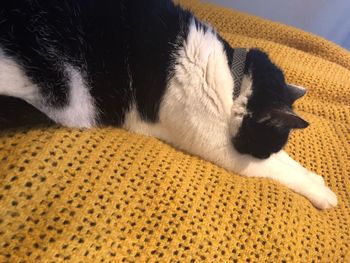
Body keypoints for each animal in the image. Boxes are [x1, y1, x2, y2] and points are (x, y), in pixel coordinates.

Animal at [0, 0, 336, 210]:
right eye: (263, 148)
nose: (262, 153)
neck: (233, 77)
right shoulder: (220, 146)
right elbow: (273, 169)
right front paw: (322, 192)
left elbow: (287, 162)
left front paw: (314, 176)